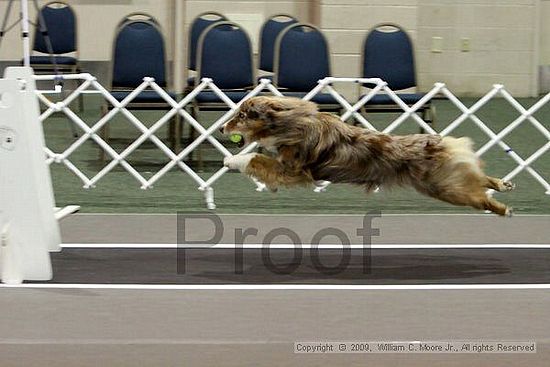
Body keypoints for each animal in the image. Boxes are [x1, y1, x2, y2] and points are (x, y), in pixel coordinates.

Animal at [222, 95, 516, 216]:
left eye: (241, 116)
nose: (223, 127)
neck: (289, 123)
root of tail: (439, 141)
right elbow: (263, 162)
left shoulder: (295, 170)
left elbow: (256, 159)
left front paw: (232, 160)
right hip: (445, 181)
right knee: (477, 178)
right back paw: (503, 184)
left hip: (443, 187)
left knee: (478, 196)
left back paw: (504, 209)